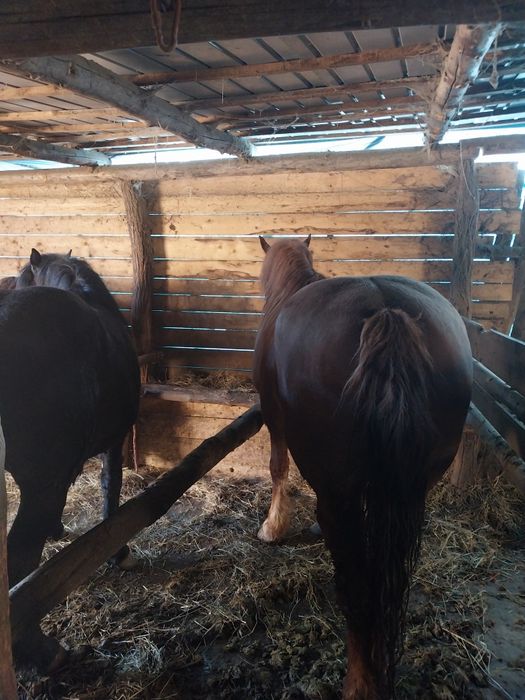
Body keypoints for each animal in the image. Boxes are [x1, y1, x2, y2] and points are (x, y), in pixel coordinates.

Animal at [253, 236, 472, 700]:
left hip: (340, 498)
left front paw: (273, 525)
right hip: (410, 492)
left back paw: (360, 682)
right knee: (391, 581)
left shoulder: (273, 416)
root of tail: (385, 310)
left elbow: (277, 467)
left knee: (357, 585)